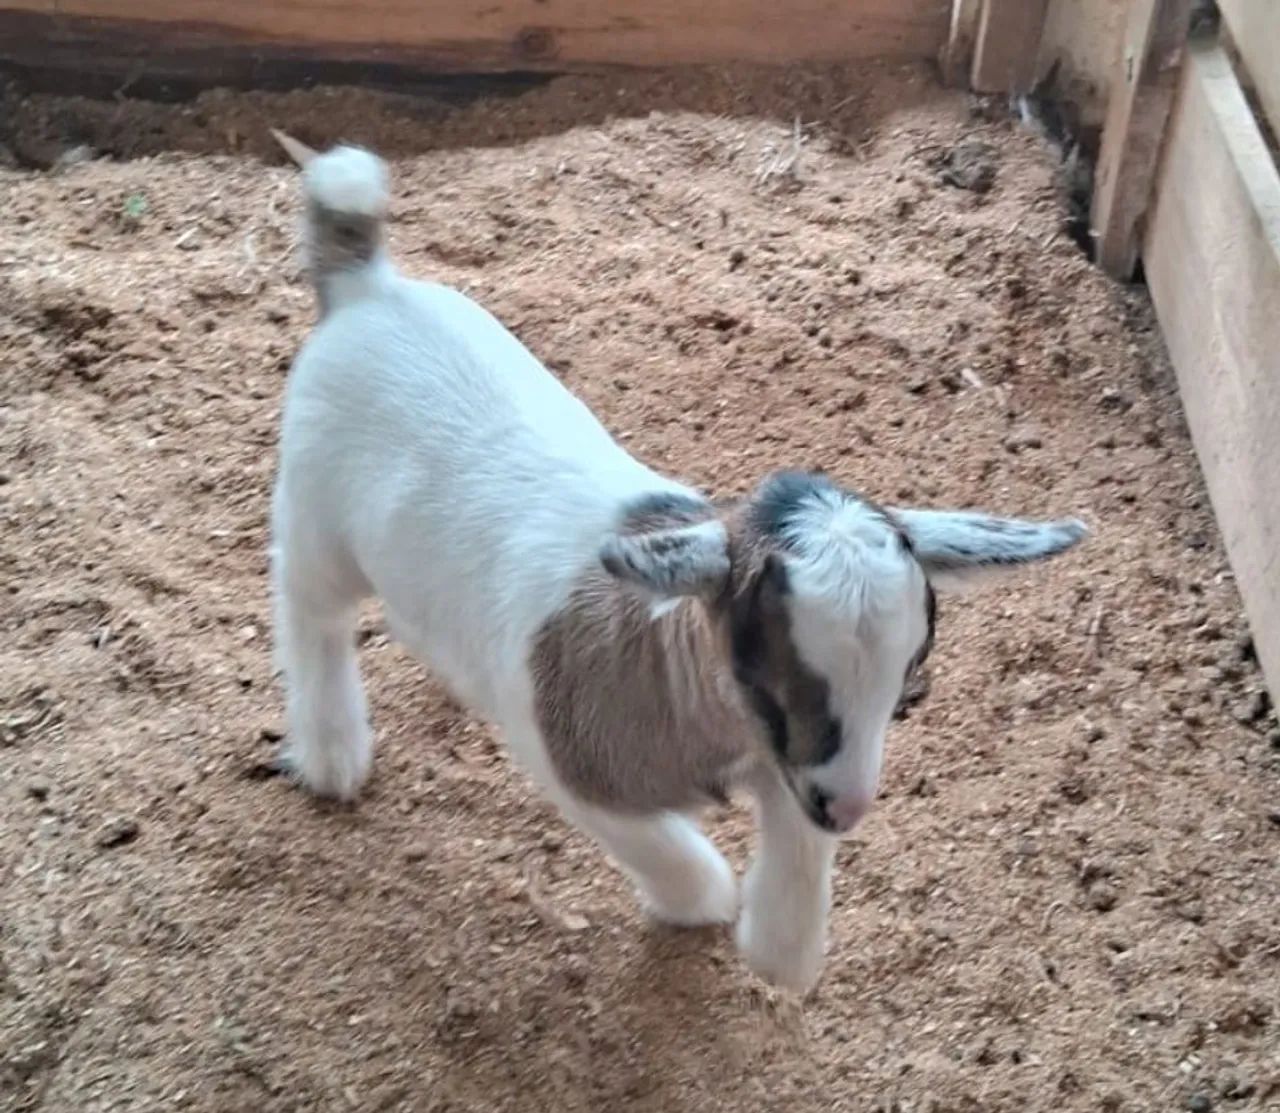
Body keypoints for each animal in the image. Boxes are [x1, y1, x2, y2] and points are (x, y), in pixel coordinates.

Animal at [267, 134, 1088, 993]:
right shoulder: (576, 765)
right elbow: (664, 848)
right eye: (766, 675)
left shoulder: (789, 767)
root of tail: (366, 286)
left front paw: (780, 944)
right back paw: (332, 753)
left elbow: (794, 865)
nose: (850, 808)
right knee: (309, 611)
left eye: (910, 680)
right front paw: (703, 904)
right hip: (316, 522)